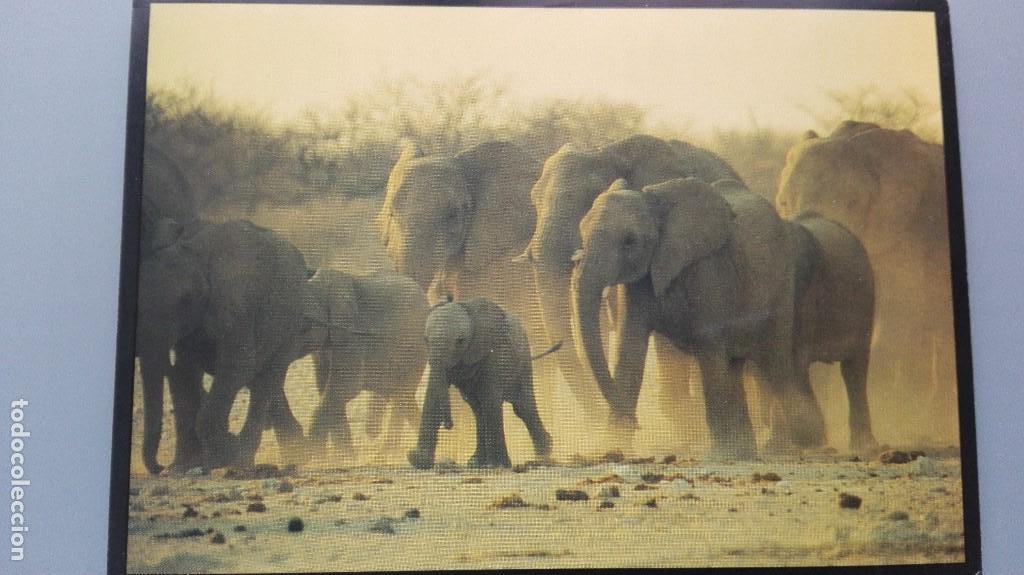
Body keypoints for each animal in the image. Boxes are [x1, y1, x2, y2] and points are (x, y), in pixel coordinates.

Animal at [135, 219, 316, 474]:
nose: (160, 467)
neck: (194, 252)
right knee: (260, 381)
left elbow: (237, 365)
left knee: (266, 379)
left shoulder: (234, 307)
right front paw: (185, 467)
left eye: (185, 299)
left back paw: (244, 463)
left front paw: (224, 455)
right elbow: (185, 371)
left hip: (291, 323)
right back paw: (296, 454)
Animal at [301, 268, 429, 458]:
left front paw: (308, 457)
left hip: (415, 350)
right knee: (402, 397)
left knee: (402, 394)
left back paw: (388, 452)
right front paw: (344, 457)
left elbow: (346, 386)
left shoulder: (351, 335)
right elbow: (326, 388)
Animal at [407, 298, 554, 469]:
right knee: (477, 408)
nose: (449, 425)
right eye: (425, 339)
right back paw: (476, 463)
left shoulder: (493, 352)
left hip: (523, 363)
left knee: (522, 407)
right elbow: (433, 396)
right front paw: (417, 461)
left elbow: (490, 397)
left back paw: (543, 453)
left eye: (460, 341)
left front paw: (497, 465)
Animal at [570, 177, 826, 460]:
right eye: (581, 231)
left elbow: (708, 346)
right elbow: (630, 347)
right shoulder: (639, 282)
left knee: (774, 361)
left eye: (629, 241)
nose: (638, 424)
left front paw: (720, 455)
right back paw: (746, 451)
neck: (654, 202)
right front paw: (613, 447)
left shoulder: (708, 269)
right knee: (735, 366)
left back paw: (803, 438)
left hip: (781, 285)